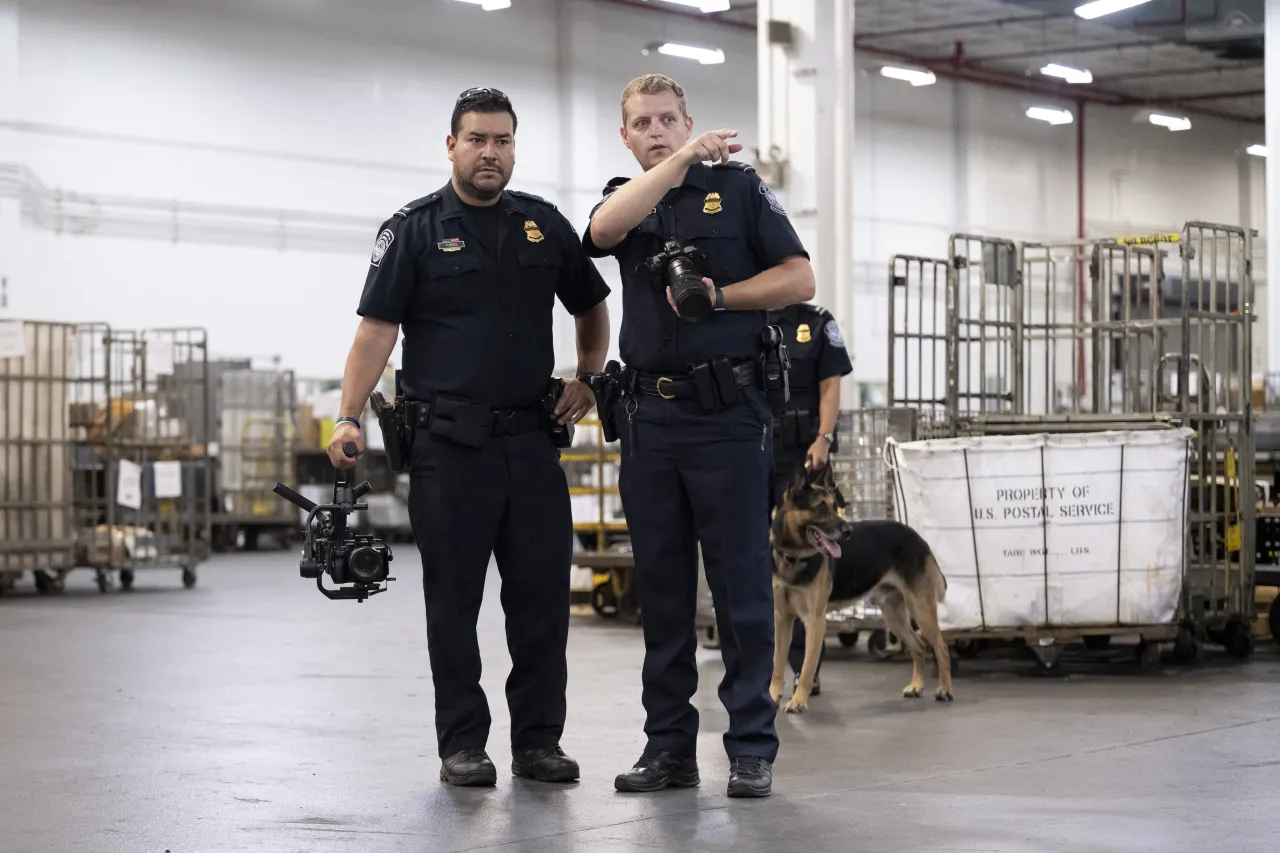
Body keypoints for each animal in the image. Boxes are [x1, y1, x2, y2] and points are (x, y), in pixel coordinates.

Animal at [762, 461, 957, 706]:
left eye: (834, 506)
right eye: (820, 508)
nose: (848, 532)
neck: (793, 556)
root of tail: (917, 537)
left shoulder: (814, 622)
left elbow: (807, 667)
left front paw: (798, 701)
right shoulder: (781, 619)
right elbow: (777, 663)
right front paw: (772, 695)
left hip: (920, 609)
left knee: (942, 648)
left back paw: (945, 689)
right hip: (893, 616)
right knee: (919, 647)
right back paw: (916, 686)